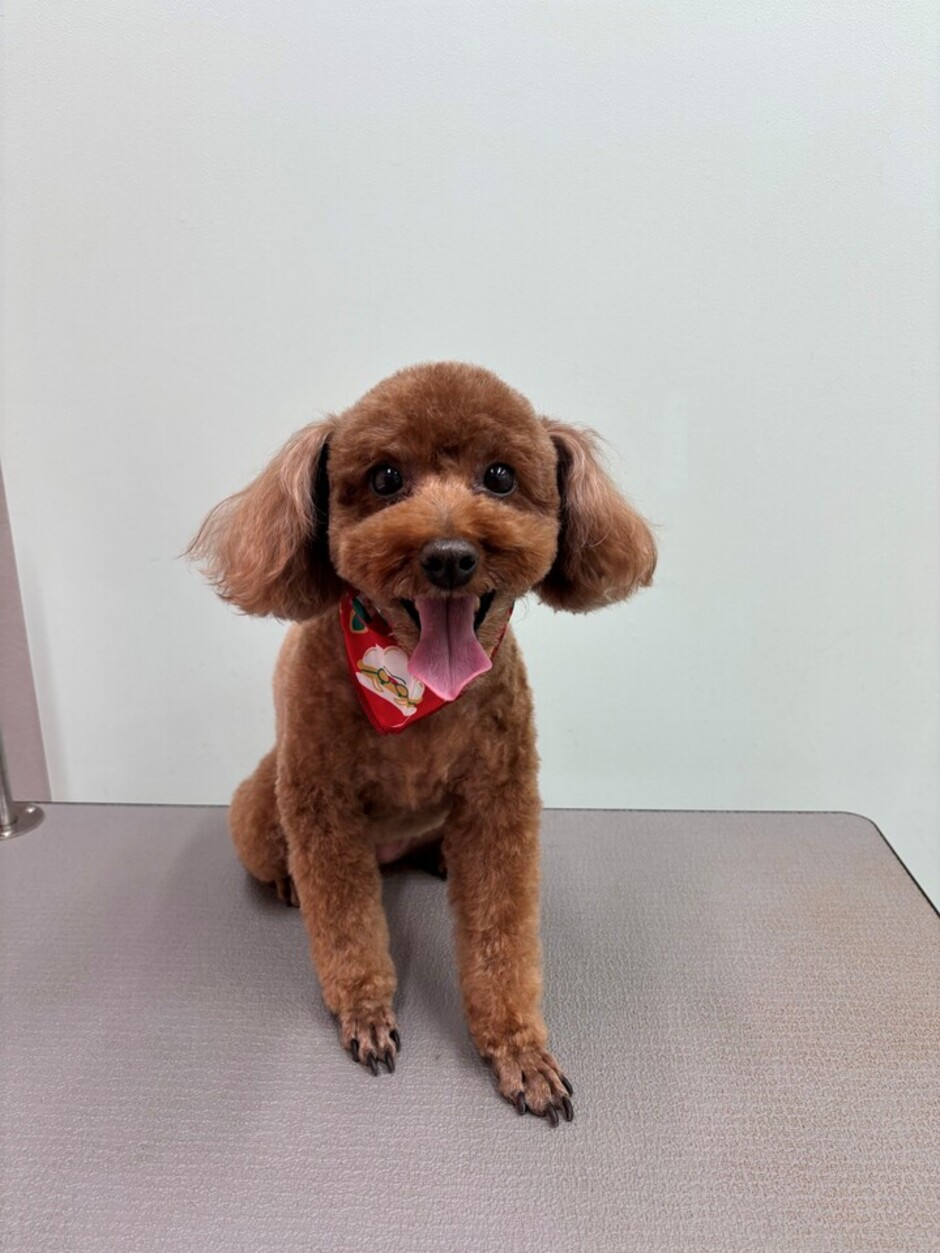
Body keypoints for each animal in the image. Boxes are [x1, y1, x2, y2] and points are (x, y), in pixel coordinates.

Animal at [189, 362, 656, 1125]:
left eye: (499, 476)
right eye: (385, 478)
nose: (449, 557)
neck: (413, 689)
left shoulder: (500, 800)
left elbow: (502, 934)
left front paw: (518, 1050)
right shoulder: (321, 804)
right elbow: (345, 922)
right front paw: (365, 1011)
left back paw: (437, 856)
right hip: (263, 799)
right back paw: (286, 881)